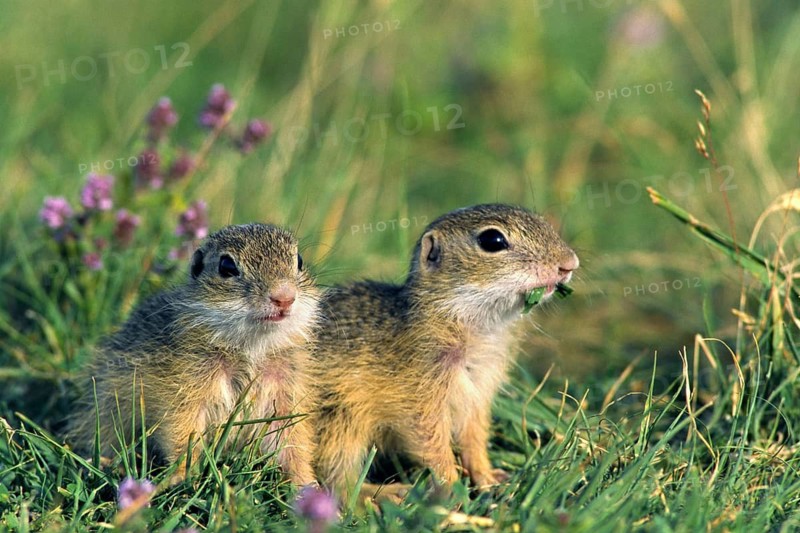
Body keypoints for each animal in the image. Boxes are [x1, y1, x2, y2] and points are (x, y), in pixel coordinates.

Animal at [70, 223, 320, 485]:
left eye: (299, 261)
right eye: (227, 266)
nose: (284, 297)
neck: (250, 349)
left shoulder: (287, 392)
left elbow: (292, 439)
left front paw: (308, 484)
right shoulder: (185, 390)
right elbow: (183, 433)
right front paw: (181, 476)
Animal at [311, 203, 579, 499]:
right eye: (492, 240)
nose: (570, 263)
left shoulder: (479, 394)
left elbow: (474, 438)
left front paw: (488, 477)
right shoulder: (420, 399)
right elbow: (431, 443)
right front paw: (452, 488)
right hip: (340, 424)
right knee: (341, 486)